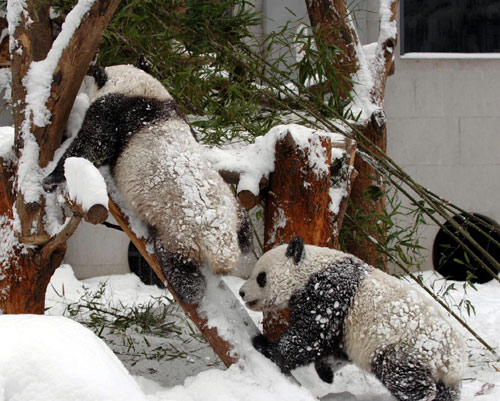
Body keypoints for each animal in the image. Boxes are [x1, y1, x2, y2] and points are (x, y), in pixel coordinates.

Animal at [44, 61, 252, 304]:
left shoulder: (112, 112)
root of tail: (219, 238)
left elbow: (92, 146)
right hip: (230, 203)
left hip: (176, 232)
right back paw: (245, 241)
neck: (135, 87)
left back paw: (190, 289)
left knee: (175, 261)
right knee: (244, 225)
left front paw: (50, 178)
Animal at [240, 238, 466, 400]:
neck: (311, 268)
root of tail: (452, 361)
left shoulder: (330, 294)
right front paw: (326, 372)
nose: (242, 292)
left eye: (261, 277)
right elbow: (336, 348)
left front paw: (266, 346)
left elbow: (310, 336)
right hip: (443, 377)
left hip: (408, 349)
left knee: (406, 379)